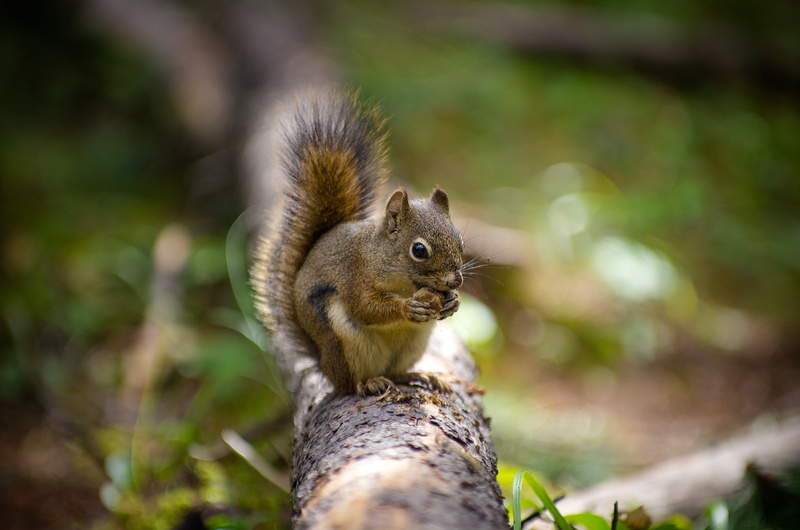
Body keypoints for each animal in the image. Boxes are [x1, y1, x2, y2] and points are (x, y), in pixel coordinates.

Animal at [251, 91, 464, 396]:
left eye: (460, 240)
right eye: (419, 250)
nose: (456, 280)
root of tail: (322, 363)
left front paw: (453, 301)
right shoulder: (354, 275)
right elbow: (364, 307)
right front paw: (406, 308)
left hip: (413, 344)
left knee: (396, 372)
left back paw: (422, 376)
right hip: (344, 344)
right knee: (350, 384)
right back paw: (370, 382)